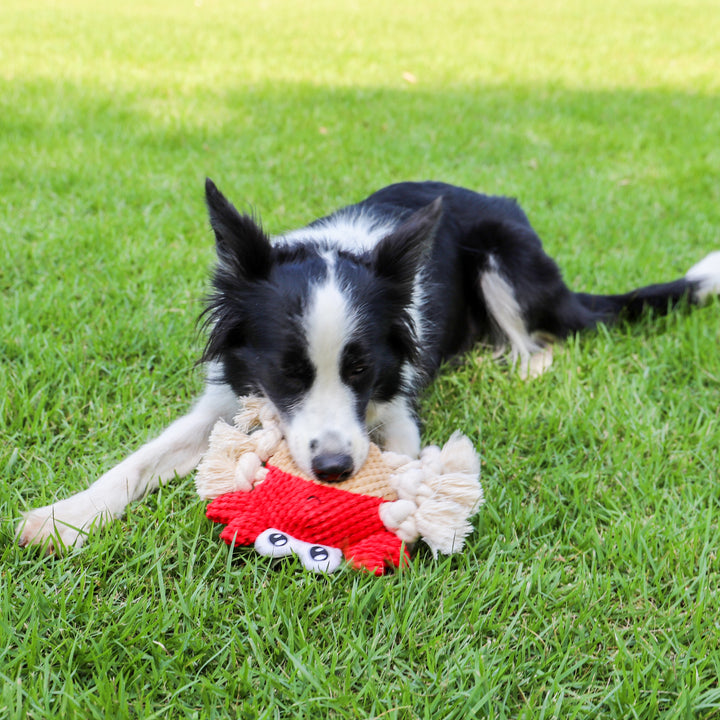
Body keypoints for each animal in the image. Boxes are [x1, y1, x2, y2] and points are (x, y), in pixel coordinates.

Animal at [16, 181, 720, 552]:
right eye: (289, 372)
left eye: (359, 370)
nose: (332, 470)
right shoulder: (228, 397)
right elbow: (137, 462)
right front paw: (64, 517)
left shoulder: (397, 404)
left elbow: (405, 469)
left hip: (501, 255)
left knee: (539, 342)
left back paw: (516, 365)